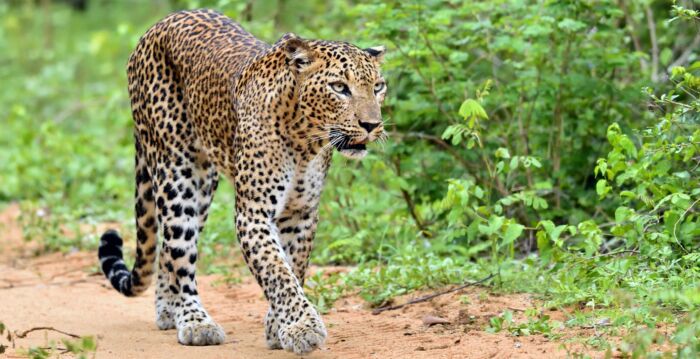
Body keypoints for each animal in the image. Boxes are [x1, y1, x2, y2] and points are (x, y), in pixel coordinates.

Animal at [95, 7, 386, 354]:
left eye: (378, 87)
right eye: (340, 87)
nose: (372, 125)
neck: (304, 141)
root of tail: (159, 25)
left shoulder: (300, 213)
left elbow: (293, 266)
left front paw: (278, 328)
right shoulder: (254, 213)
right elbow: (276, 271)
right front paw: (302, 327)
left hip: (204, 185)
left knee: (167, 247)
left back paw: (168, 310)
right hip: (175, 172)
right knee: (180, 251)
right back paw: (194, 321)